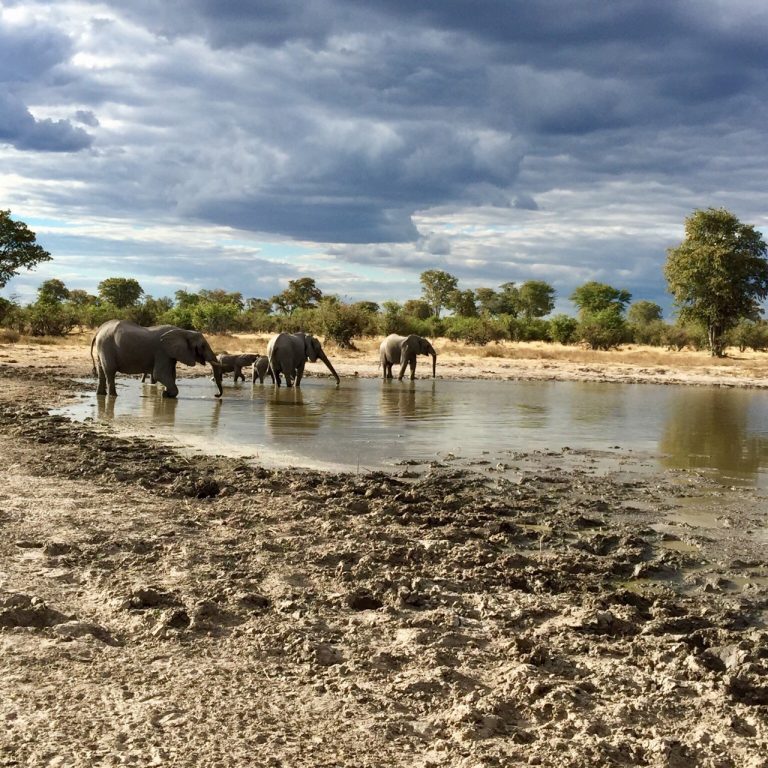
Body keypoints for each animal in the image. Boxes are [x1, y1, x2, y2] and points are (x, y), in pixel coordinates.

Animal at [91, 319, 223, 398]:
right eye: (202, 346)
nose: (216, 395)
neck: (183, 331)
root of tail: (99, 330)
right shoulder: (162, 352)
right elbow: (159, 374)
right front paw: (166, 394)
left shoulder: (170, 354)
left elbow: (171, 374)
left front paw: (166, 394)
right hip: (106, 345)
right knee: (110, 371)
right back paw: (113, 396)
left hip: (102, 347)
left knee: (101, 370)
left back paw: (101, 395)